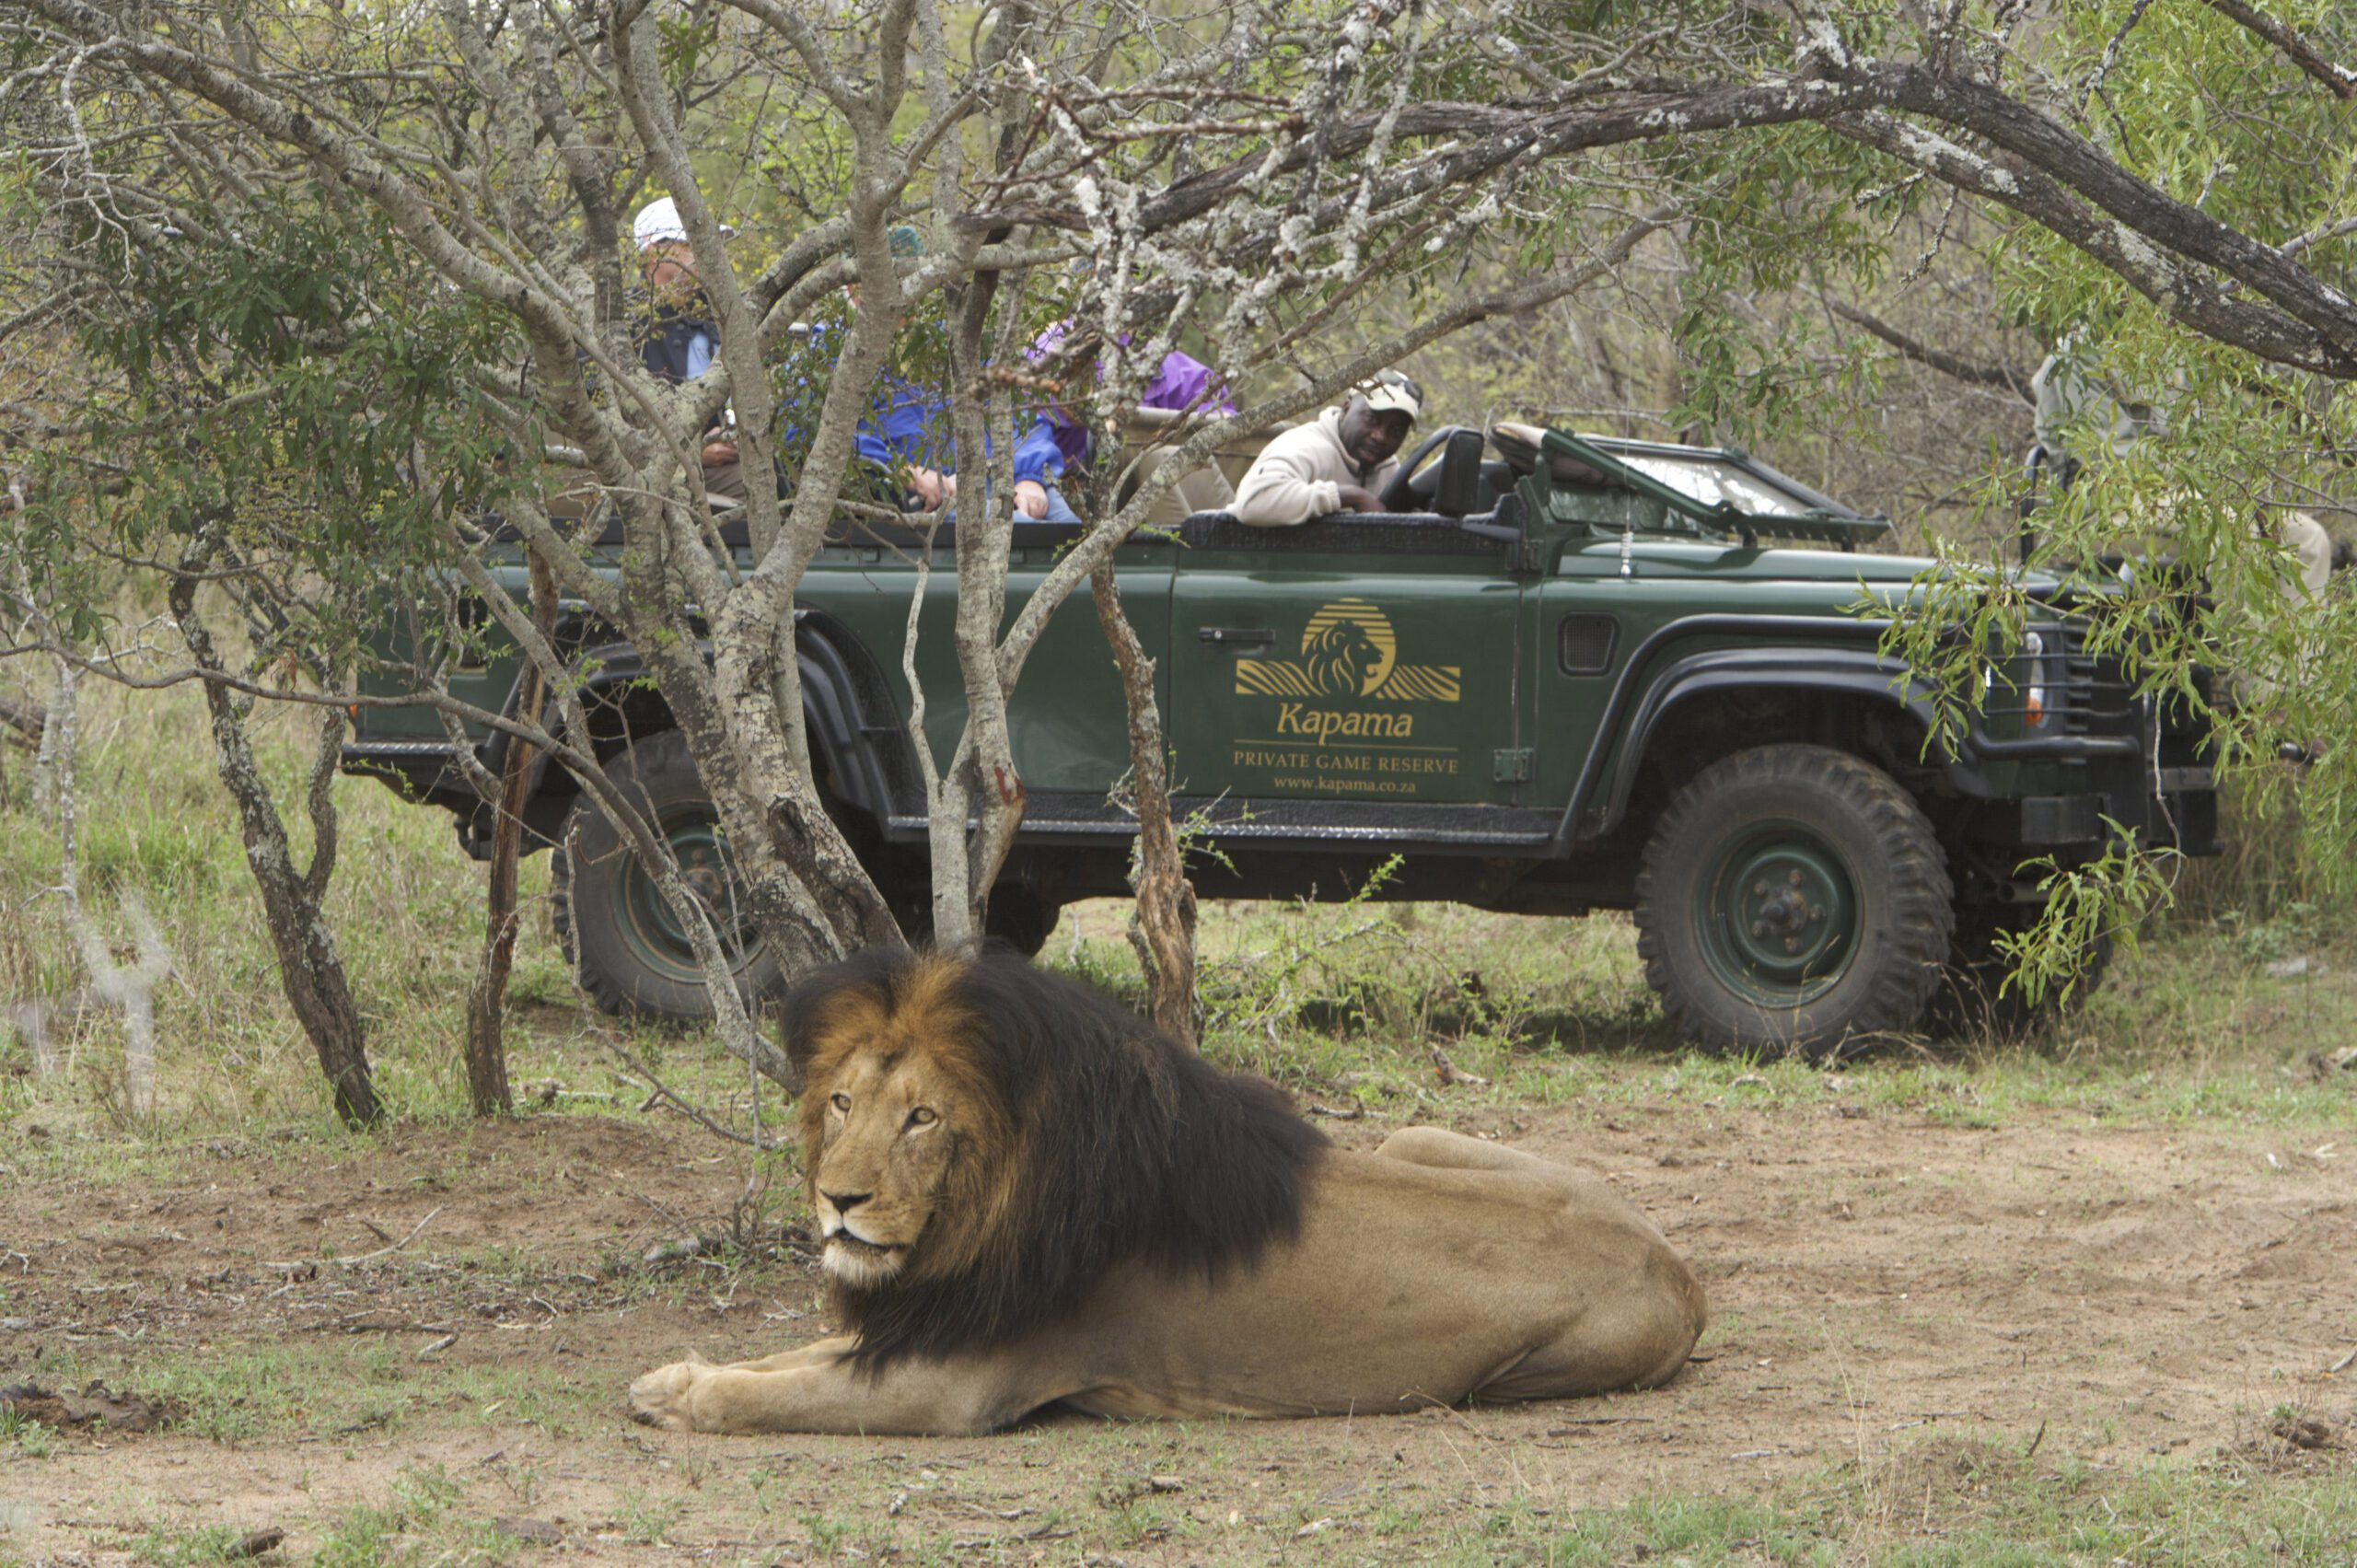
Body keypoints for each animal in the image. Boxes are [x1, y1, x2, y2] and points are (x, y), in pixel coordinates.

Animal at [629, 949, 1706, 1435]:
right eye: (843, 1100)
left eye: (921, 1117)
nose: (836, 1201)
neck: (974, 1222)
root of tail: (1680, 1265)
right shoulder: (923, 1320)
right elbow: (792, 1354)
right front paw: (667, 1374)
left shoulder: (955, 1385)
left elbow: (780, 1389)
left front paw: (687, 1394)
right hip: (1413, 1136)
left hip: (1514, 1373)